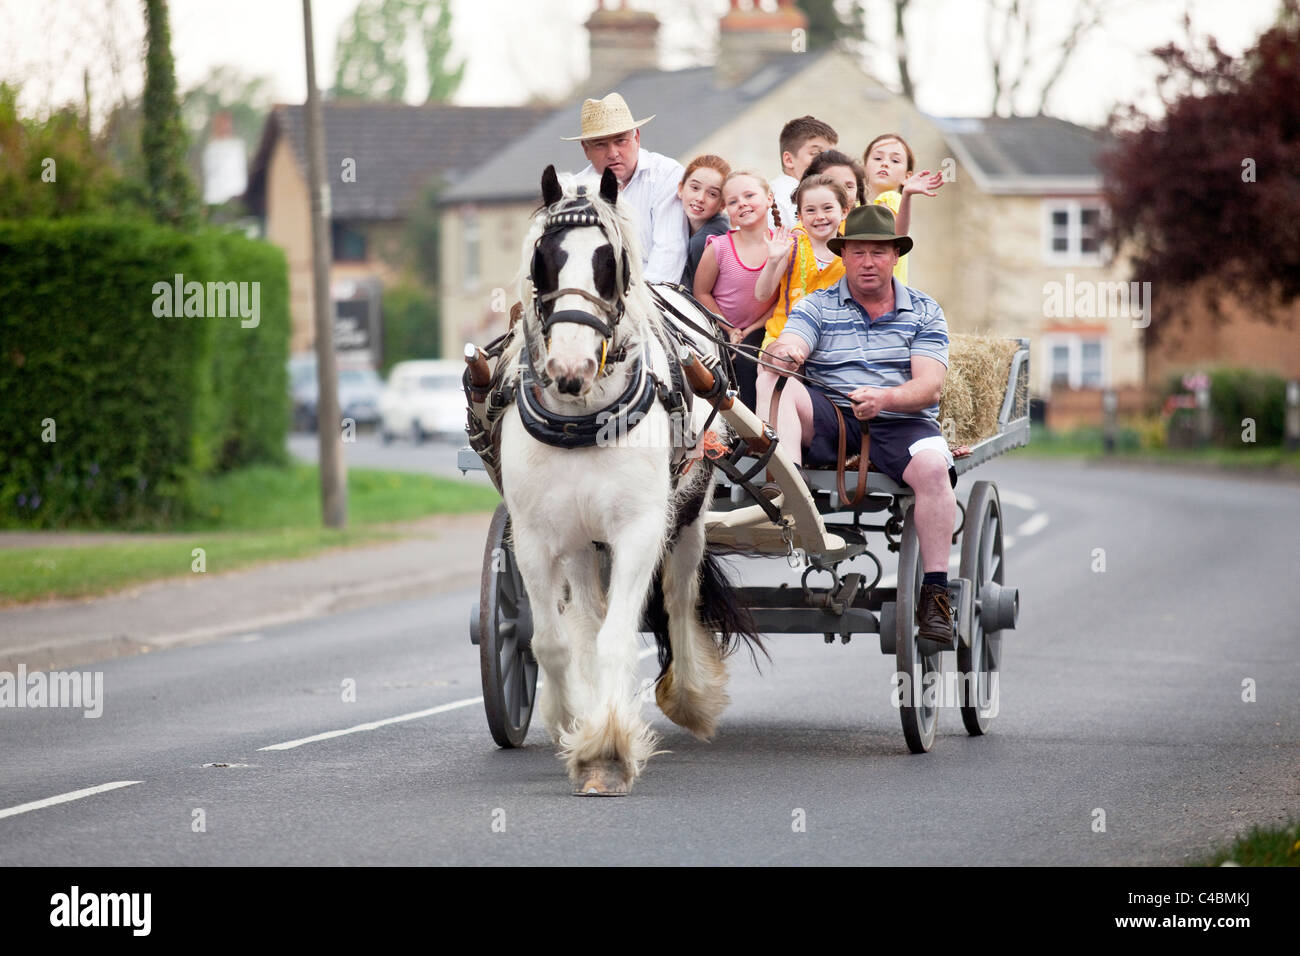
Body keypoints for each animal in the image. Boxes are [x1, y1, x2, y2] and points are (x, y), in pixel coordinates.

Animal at [491, 164, 758, 795]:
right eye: (543, 258)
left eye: (608, 262)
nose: (569, 368)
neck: (583, 416)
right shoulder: (536, 537)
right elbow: (553, 640)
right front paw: (573, 723)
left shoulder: (639, 530)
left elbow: (618, 636)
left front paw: (607, 750)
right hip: (584, 542)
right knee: (586, 618)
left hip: (688, 515)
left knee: (680, 597)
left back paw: (689, 695)